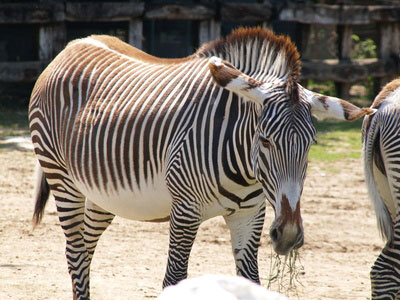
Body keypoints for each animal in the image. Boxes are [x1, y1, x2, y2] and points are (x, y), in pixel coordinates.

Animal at [28, 27, 376, 298]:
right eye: (265, 140)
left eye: (310, 145)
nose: (289, 236)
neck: (245, 170)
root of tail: (73, 45)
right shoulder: (185, 210)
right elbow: (173, 278)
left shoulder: (251, 214)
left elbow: (250, 280)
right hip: (63, 179)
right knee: (75, 252)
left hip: (102, 194)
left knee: (86, 249)